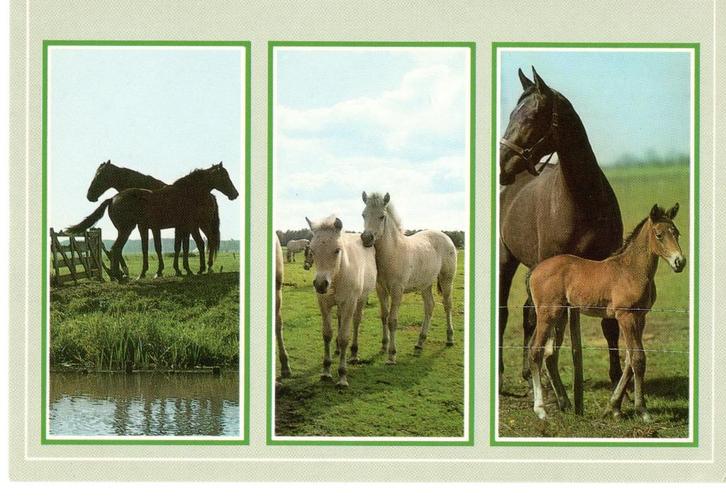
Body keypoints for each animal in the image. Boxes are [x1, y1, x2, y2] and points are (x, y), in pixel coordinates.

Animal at [66, 163, 238, 281]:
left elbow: (173, 248)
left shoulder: (174, 226)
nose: (235, 194)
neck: (185, 193)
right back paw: (119, 275)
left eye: (100, 175)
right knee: (115, 249)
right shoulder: (176, 226)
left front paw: (177, 270)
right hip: (127, 229)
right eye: (224, 176)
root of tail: (112, 199)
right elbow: (163, 248)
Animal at [306, 216, 377, 387]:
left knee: (356, 322)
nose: (320, 284)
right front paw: (326, 371)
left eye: (337, 250)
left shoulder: (349, 304)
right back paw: (337, 350)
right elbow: (327, 334)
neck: (338, 276)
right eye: (312, 251)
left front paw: (342, 377)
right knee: (339, 318)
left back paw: (354, 354)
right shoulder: (324, 304)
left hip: (360, 300)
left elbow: (345, 337)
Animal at [360, 192, 457, 364]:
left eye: (382, 216)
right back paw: (420, 343)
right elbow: (384, 316)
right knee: (429, 306)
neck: (393, 252)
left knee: (447, 305)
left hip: (447, 280)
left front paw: (392, 355)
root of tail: (446, 236)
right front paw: (384, 346)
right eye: (363, 214)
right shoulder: (380, 289)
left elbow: (393, 321)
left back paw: (450, 339)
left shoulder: (397, 290)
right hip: (426, 284)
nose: (366, 238)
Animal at [499, 68, 624, 411]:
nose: (502, 165)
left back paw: (529, 374)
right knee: (506, 313)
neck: (583, 200)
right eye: (512, 114)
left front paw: (615, 389)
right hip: (507, 260)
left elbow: (609, 326)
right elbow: (557, 330)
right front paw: (560, 394)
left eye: (531, 116)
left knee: (529, 315)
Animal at [527, 204, 685, 420]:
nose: (680, 262)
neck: (631, 270)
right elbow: (638, 359)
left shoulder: (640, 317)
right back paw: (541, 410)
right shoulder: (625, 316)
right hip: (547, 314)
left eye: (676, 233)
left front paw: (613, 407)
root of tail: (534, 270)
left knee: (548, 354)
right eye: (659, 235)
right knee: (536, 351)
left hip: (558, 316)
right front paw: (642, 411)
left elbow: (629, 361)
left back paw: (565, 405)